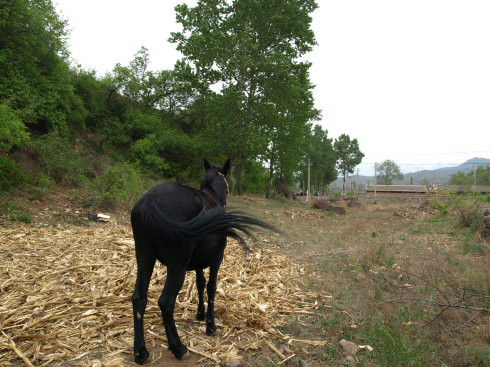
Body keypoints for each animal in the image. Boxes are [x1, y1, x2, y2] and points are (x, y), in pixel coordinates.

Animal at [130, 158, 276, 366]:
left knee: (139, 299)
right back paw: (178, 347)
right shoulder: (217, 259)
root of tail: (150, 202)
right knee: (166, 301)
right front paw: (210, 324)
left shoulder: (198, 263)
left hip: (144, 258)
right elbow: (211, 287)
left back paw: (140, 351)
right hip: (177, 266)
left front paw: (200, 314)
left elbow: (200, 284)